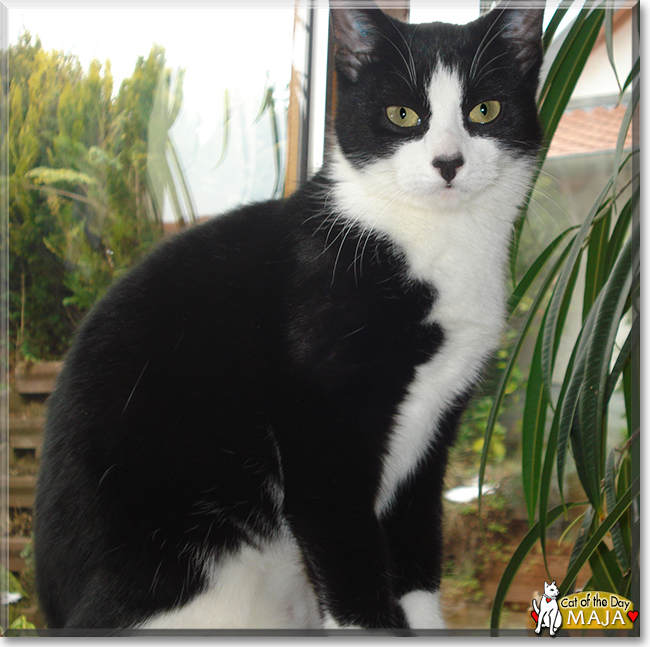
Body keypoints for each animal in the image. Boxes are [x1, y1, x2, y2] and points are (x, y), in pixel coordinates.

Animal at [34, 0, 540, 632]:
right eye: (402, 114)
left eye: (484, 109)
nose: (449, 162)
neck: (431, 241)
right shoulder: (323, 428)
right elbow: (347, 562)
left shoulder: (434, 432)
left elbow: (416, 556)